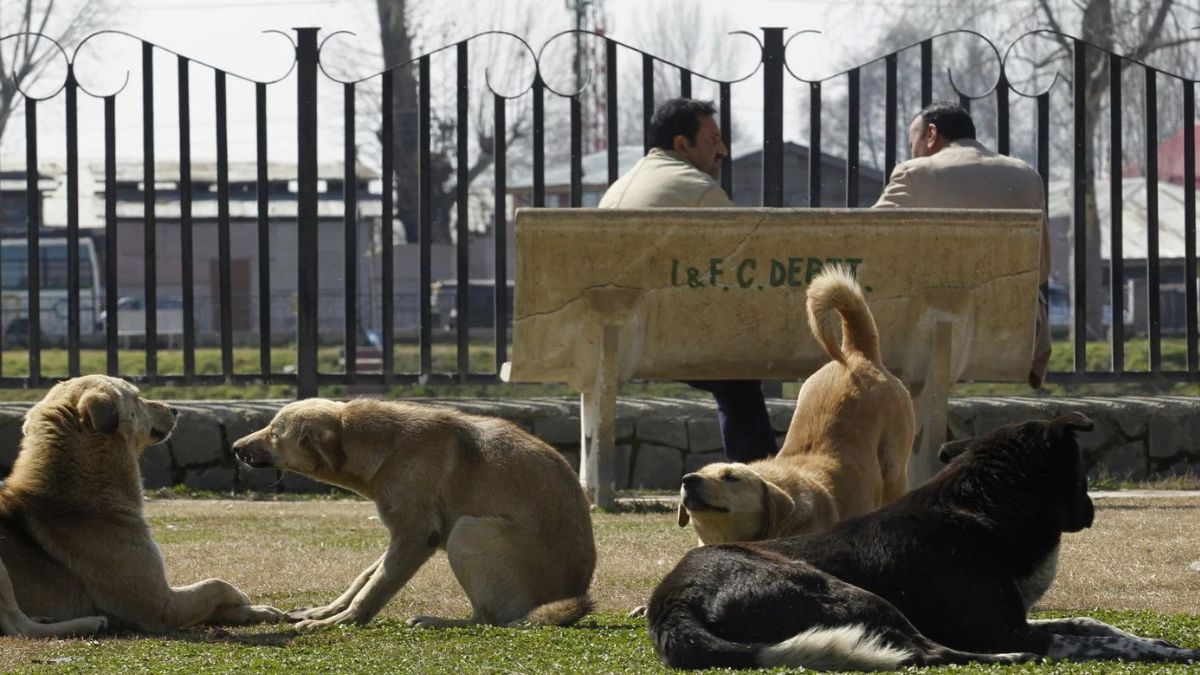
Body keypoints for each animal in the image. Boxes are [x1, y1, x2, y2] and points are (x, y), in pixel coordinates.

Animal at [0, 375, 284, 636]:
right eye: (136, 397)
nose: (174, 409)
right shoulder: (160, 606)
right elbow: (215, 584)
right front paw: (242, 598)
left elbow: (214, 601)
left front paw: (254, 611)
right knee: (18, 627)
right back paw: (88, 623)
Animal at [233, 398, 596, 629]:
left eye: (273, 433)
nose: (235, 447)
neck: (386, 445)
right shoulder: (403, 537)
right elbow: (365, 578)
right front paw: (327, 612)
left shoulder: (416, 536)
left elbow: (376, 587)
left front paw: (342, 621)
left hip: (468, 532)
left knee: (488, 619)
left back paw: (438, 622)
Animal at [647, 412, 1200, 669]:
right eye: (1083, 472)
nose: (1090, 510)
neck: (983, 508)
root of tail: (672, 604)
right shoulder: (1005, 631)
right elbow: (1091, 639)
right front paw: (1172, 653)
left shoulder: (1014, 618)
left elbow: (1090, 622)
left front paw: (1154, 640)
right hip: (848, 592)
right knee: (926, 652)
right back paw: (1006, 662)